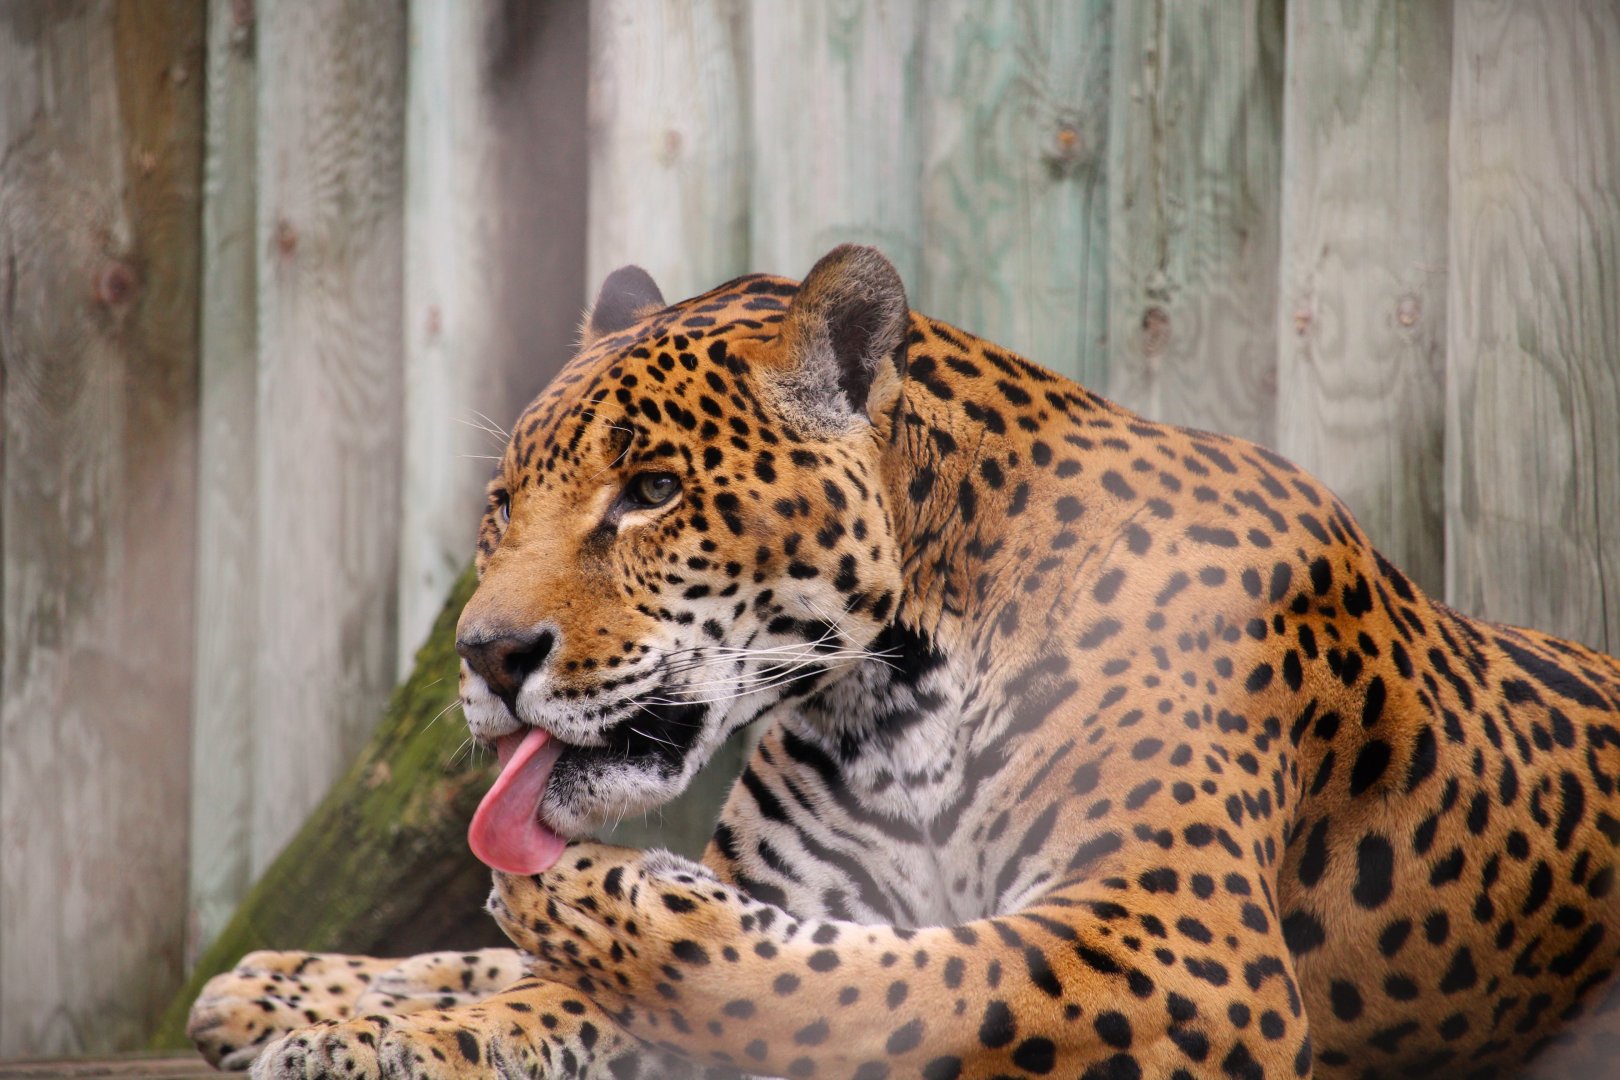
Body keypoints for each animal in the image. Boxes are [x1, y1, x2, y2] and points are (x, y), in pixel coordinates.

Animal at [190, 244, 1620, 1079]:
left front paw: (576, 914)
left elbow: (847, 989)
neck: (887, 696)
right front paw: (317, 1002)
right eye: (501, 507)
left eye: (651, 491)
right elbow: (563, 988)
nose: (487, 655)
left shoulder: (1176, 944)